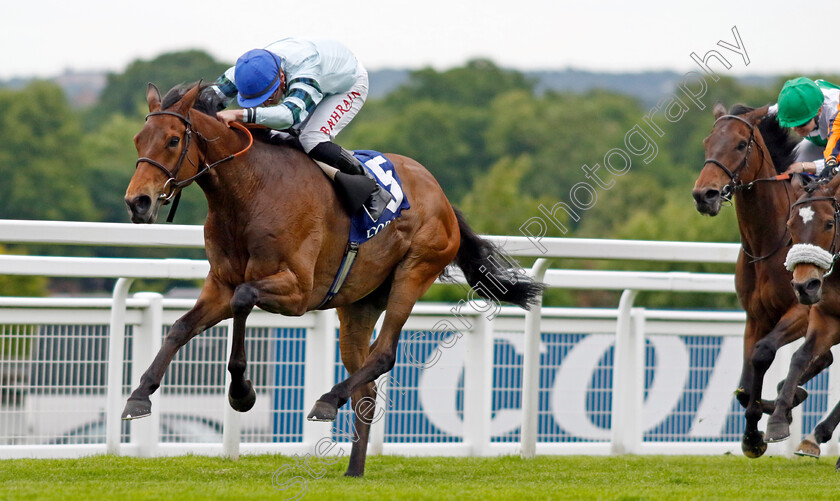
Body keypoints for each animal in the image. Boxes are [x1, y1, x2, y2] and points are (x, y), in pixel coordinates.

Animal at [692, 102, 824, 458]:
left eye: (741, 144)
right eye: (707, 142)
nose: (704, 195)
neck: (769, 242)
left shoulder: (804, 310)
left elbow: (763, 354)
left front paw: (771, 420)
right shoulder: (755, 316)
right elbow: (744, 385)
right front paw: (756, 428)